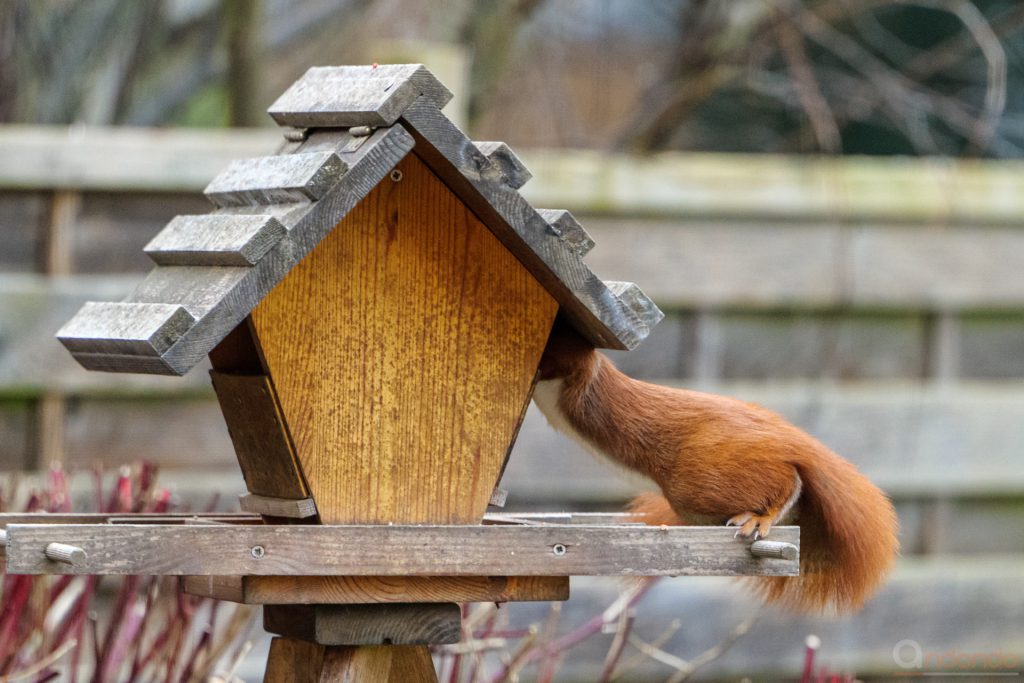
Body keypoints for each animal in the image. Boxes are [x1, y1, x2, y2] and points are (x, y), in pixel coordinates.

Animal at [532, 319, 901, 614]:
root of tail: (790, 442)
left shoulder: (574, 362)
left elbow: (559, 363)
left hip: (700, 483)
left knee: (788, 483)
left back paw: (759, 519)